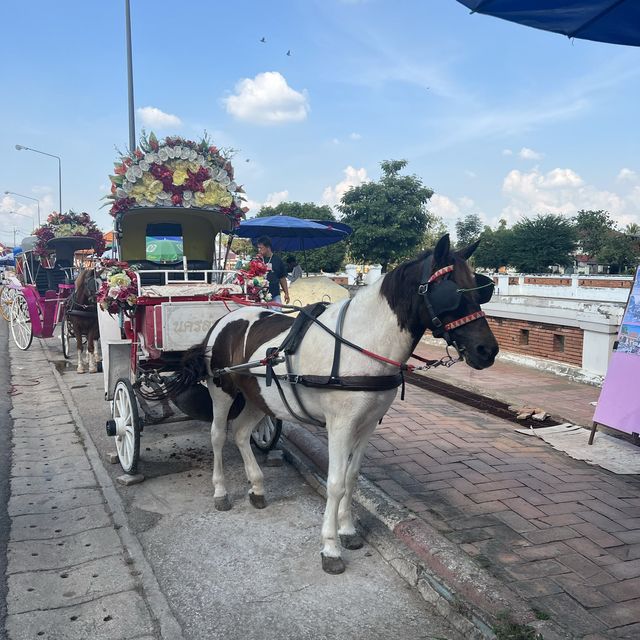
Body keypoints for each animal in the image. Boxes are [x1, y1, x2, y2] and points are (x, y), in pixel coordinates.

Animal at [172, 236, 498, 576]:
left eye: (480, 289)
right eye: (451, 292)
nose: (487, 350)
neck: (362, 342)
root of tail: (223, 320)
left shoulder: (367, 423)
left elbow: (352, 478)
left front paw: (348, 530)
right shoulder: (340, 426)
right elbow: (336, 482)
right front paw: (330, 547)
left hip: (257, 397)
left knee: (240, 433)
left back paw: (258, 487)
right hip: (221, 391)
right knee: (219, 436)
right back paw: (221, 491)